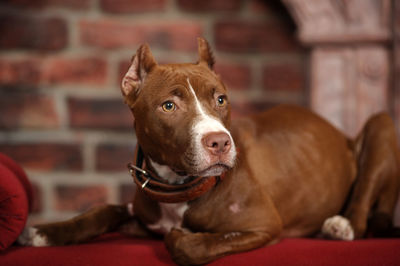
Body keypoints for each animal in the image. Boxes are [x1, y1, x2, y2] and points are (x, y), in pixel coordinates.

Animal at [18, 38, 400, 264]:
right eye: (168, 106)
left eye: (220, 99)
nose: (220, 142)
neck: (178, 185)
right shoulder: (144, 211)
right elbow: (102, 211)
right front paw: (46, 232)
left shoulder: (263, 225)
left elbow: (194, 244)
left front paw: (182, 235)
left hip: (382, 126)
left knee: (363, 203)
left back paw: (341, 224)